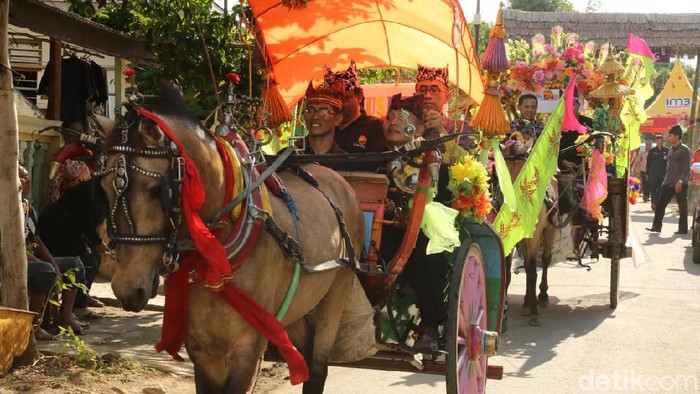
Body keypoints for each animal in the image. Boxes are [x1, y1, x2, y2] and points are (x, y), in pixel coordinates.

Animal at [93, 84, 364, 392]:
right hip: (294, 307)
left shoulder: (248, 347)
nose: (126, 289)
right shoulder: (201, 348)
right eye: (104, 188)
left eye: (155, 190)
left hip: (338, 287)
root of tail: (335, 177)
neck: (218, 255)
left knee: (317, 365)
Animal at [504, 139, 556, 326]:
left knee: (545, 259)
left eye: (523, 168)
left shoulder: (534, 237)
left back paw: (542, 296)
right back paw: (527, 301)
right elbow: (508, 273)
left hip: (550, 229)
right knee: (526, 264)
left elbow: (533, 272)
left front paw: (534, 310)